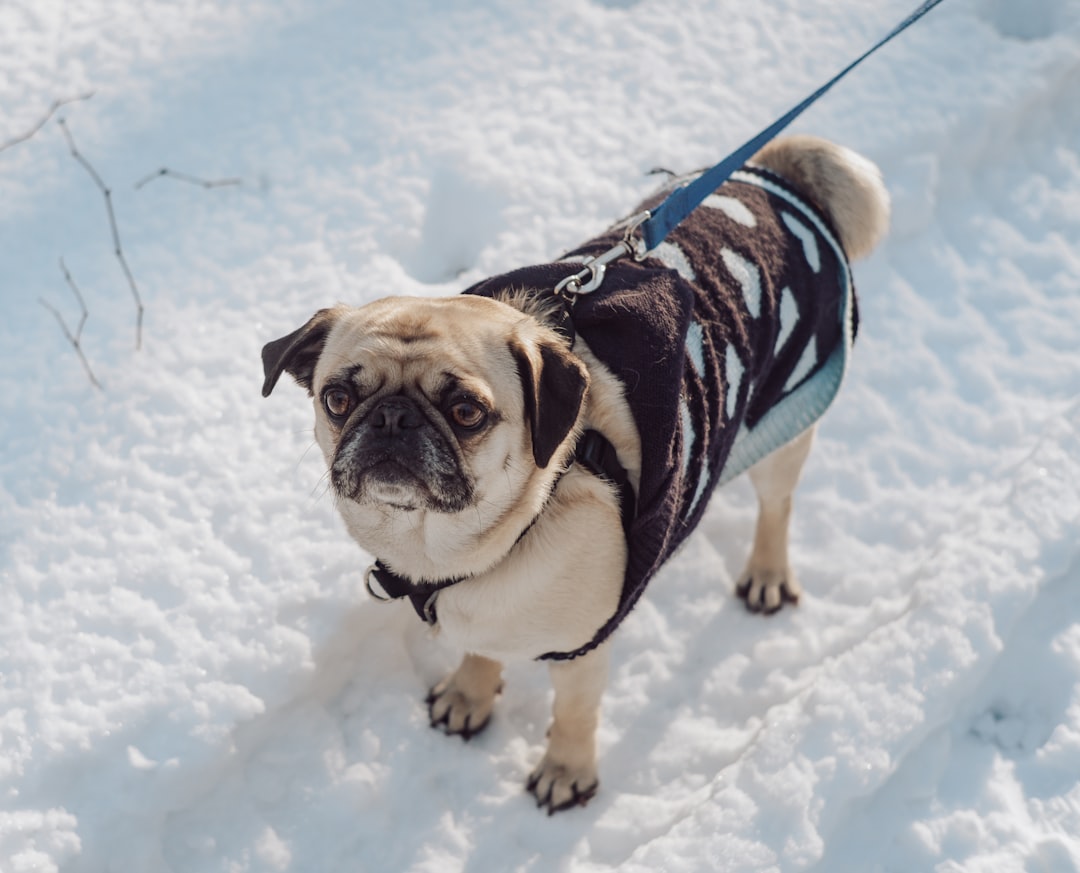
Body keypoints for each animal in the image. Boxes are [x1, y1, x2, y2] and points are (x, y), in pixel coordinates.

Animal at [259, 134, 885, 812]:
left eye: (466, 412)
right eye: (337, 399)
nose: (393, 419)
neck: (458, 548)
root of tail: (776, 175)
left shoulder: (586, 646)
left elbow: (576, 713)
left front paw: (566, 772)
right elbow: (481, 649)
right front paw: (470, 694)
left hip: (785, 419)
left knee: (777, 507)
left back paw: (766, 575)